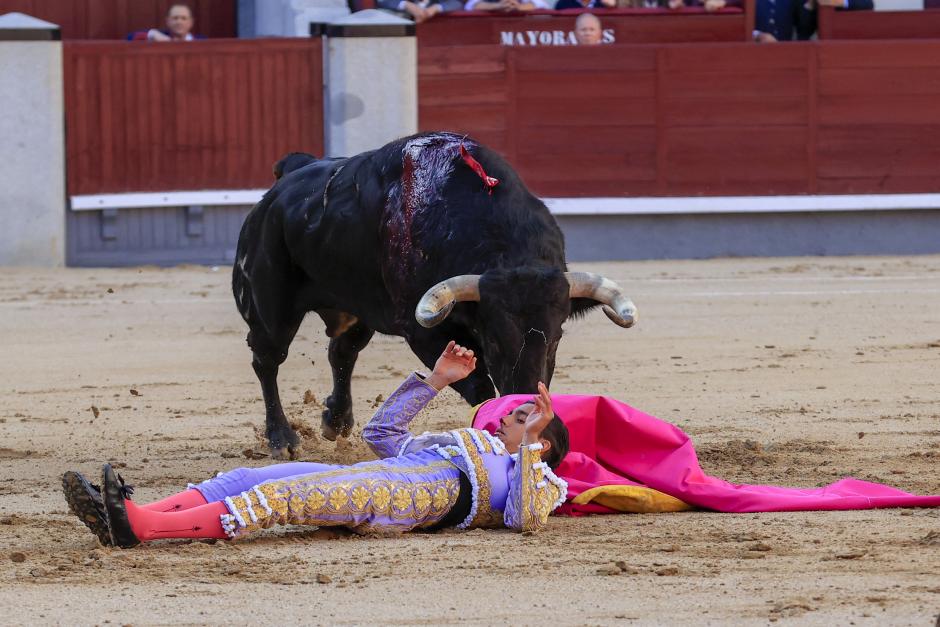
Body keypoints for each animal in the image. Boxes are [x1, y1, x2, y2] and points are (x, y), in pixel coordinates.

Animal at [233, 132, 640, 458]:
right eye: (493, 340)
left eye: (556, 339)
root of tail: (290, 174)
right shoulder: (423, 332)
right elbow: (479, 386)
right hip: (269, 304)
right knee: (267, 358)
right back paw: (282, 439)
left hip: (356, 310)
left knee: (342, 352)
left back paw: (336, 421)